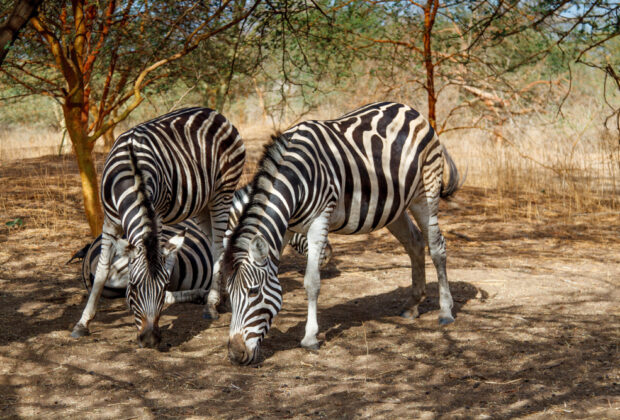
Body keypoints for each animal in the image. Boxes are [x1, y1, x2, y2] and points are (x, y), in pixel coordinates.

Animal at [71, 108, 246, 348]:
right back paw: (220, 294)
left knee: (220, 246)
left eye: (163, 289)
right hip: (202, 204)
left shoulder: (158, 216)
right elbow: (102, 271)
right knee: (213, 245)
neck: (132, 175)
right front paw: (83, 322)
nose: (150, 339)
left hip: (223, 192)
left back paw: (211, 304)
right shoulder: (110, 221)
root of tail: (215, 113)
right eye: (133, 287)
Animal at [223, 101, 460, 364]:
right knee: (416, 243)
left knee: (437, 247)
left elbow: (311, 282)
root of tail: (411, 110)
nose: (235, 355)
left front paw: (310, 338)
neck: (295, 179)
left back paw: (445, 311)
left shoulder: (320, 219)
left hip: (425, 193)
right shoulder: (286, 228)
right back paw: (412, 305)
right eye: (229, 294)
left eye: (253, 292)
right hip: (393, 207)